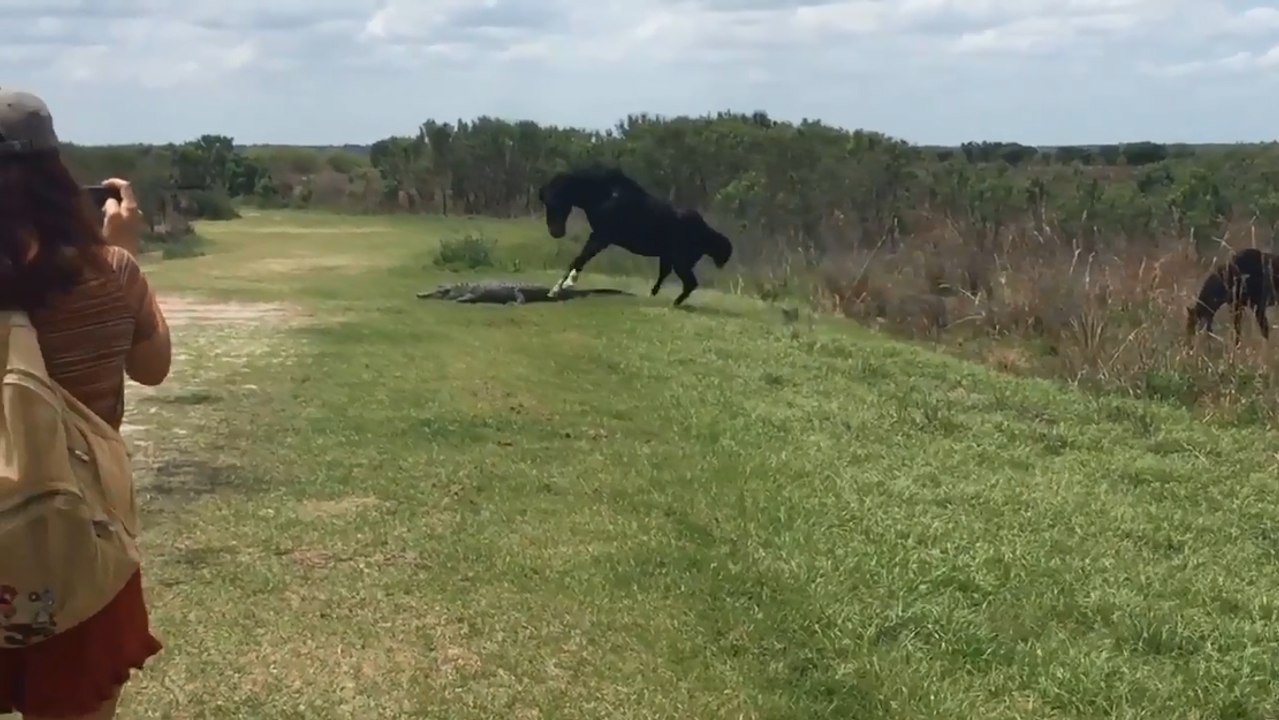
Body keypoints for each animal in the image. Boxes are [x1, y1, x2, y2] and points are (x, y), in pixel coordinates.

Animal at [536, 165, 734, 306]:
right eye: (546, 202)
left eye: (557, 200)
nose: (556, 232)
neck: (606, 195)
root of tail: (705, 232)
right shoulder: (600, 236)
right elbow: (579, 259)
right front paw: (557, 288)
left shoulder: (602, 236)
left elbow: (579, 259)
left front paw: (561, 287)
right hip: (670, 259)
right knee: (668, 276)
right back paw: (653, 296)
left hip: (681, 262)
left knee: (690, 283)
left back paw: (674, 303)